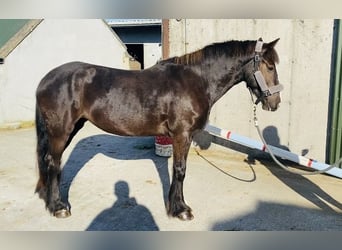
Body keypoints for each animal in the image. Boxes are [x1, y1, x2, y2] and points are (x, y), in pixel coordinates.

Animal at [34, 37, 282, 221]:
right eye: (269, 66)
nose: (275, 102)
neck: (196, 79)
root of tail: (46, 79)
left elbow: (177, 170)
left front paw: (174, 206)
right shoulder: (182, 135)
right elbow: (180, 170)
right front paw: (181, 210)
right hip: (60, 131)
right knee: (53, 163)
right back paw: (58, 207)